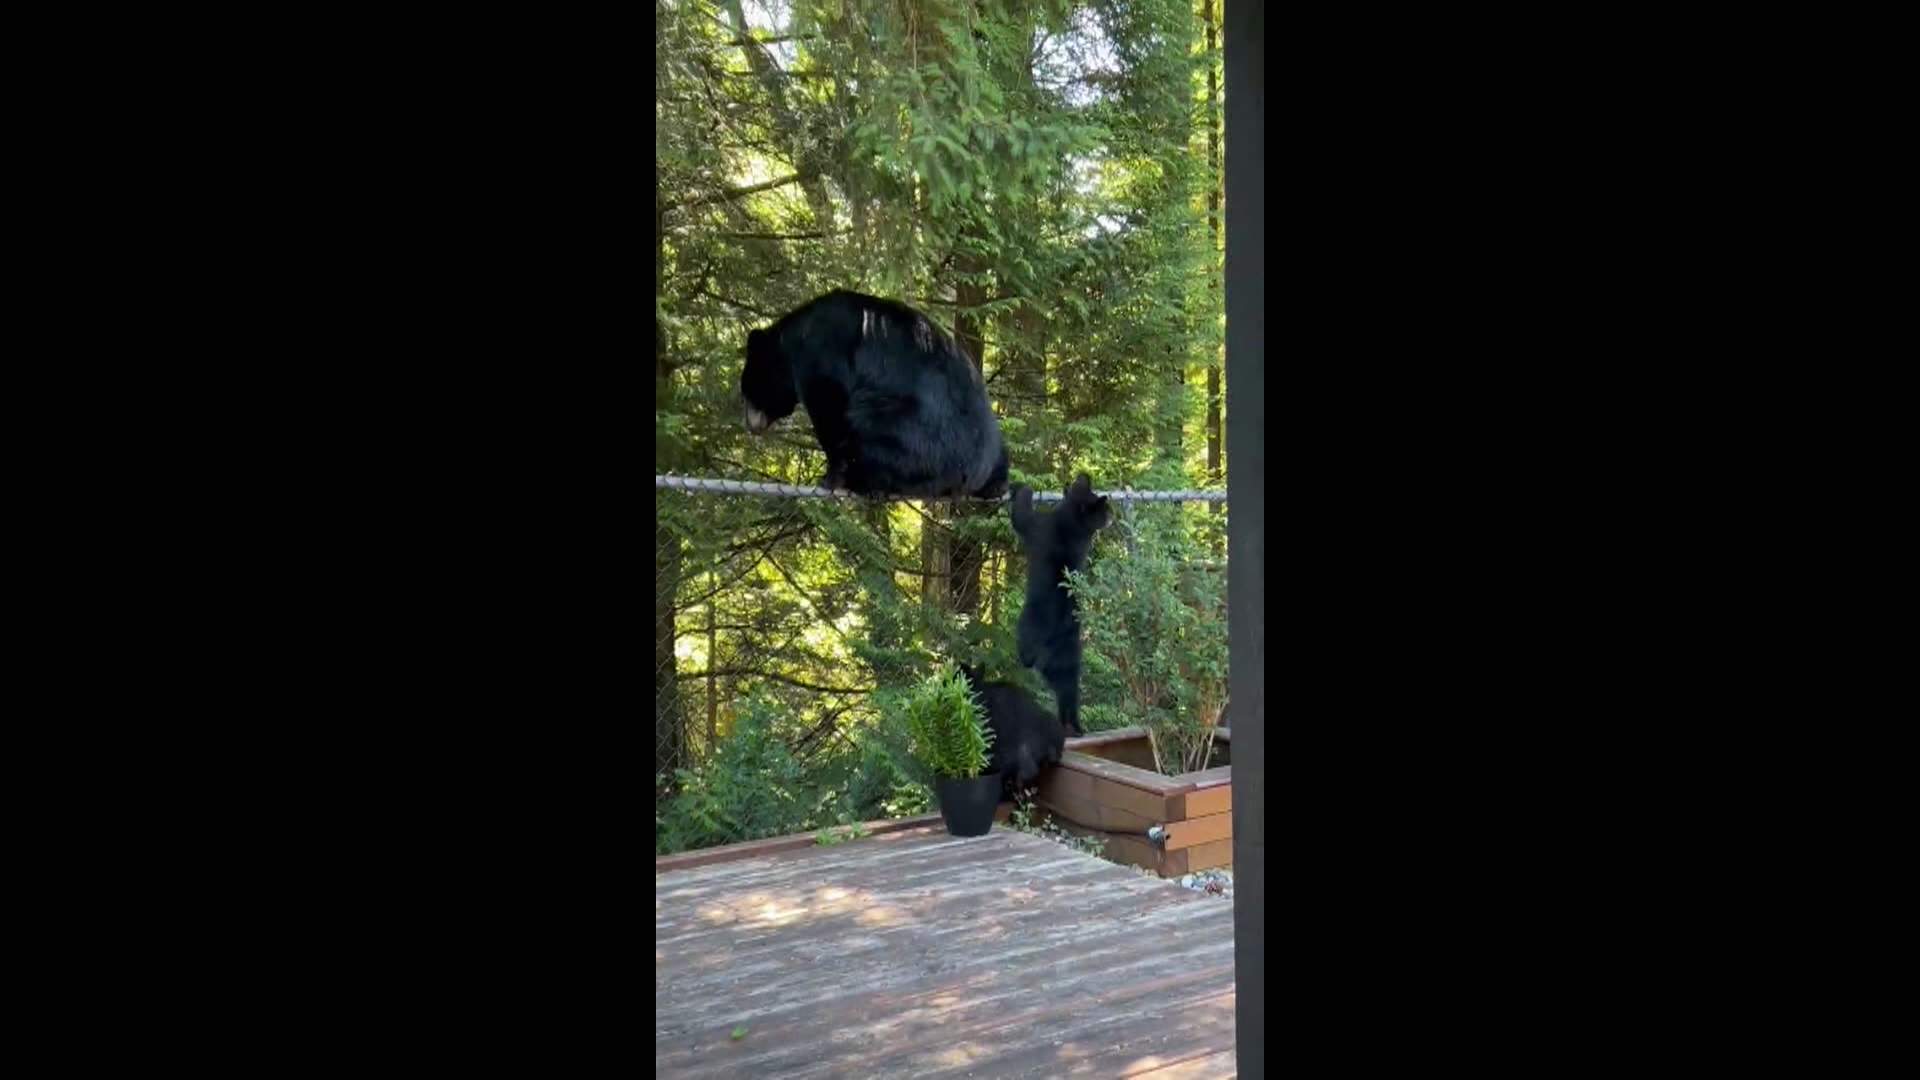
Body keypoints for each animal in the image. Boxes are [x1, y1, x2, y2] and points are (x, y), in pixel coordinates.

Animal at [739, 290, 1010, 499]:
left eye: (747, 391)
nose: (750, 425)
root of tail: (973, 472)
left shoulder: (822, 353)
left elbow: (829, 407)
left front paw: (830, 477)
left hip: (914, 443)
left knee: (866, 428)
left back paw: (863, 481)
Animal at [1010, 474, 1112, 735]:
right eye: (1105, 509)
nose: (1111, 516)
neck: (1071, 521)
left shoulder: (1037, 526)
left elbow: (1021, 517)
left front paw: (1023, 487)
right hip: (1069, 664)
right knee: (1069, 691)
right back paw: (1073, 726)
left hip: (1028, 627)